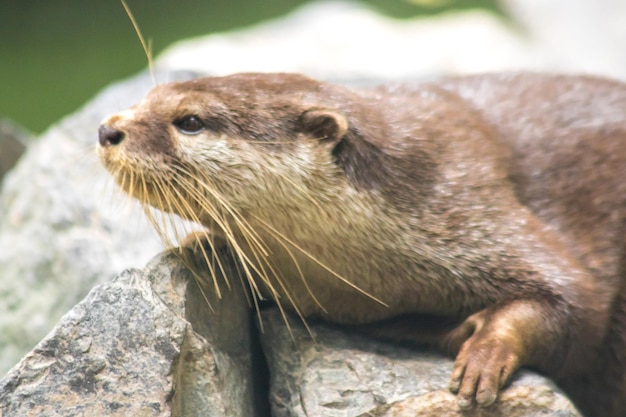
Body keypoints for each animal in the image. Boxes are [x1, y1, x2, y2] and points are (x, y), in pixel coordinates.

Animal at [97, 72, 624, 416]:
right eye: (147, 97)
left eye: (189, 121)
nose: (107, 129)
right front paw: (206, 241)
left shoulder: (474, 206)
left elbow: (575, 302)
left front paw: (483, 355)